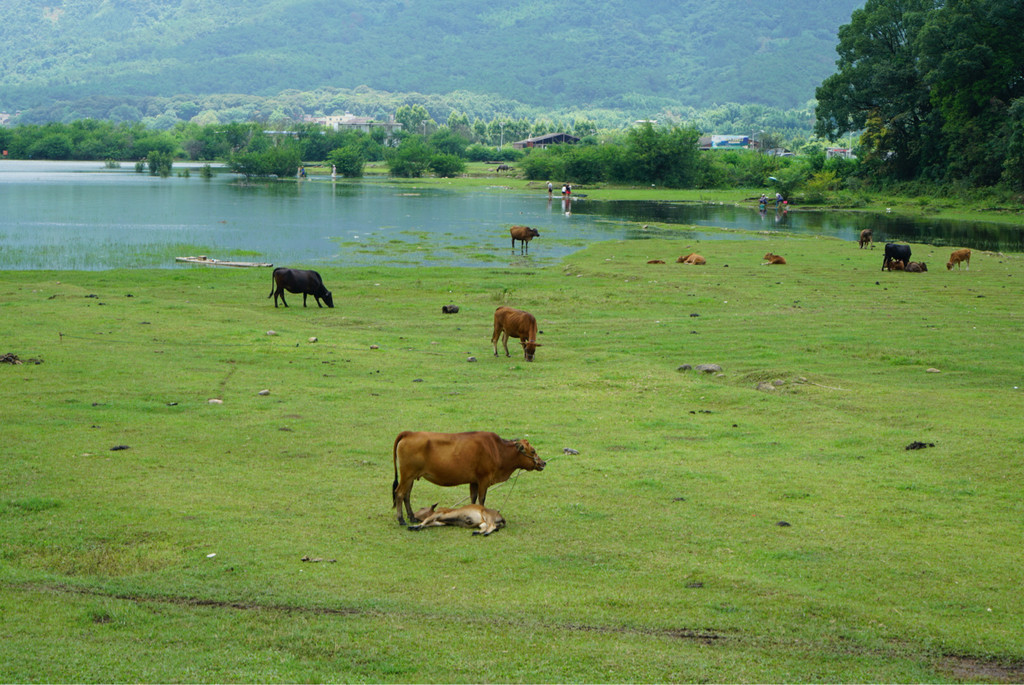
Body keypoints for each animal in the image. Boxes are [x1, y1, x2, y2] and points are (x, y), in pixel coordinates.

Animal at [389, 430, 544, 528]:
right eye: (533, 451)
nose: (543, 463)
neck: (497, 450)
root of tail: (410, 433)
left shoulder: (473, 481)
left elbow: (473, 498)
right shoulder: (483, 480)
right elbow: (481, 499)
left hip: (411, 477)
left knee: (407, 495)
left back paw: (411, 517)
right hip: (407, 475)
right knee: (400, 493)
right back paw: (401, 519)